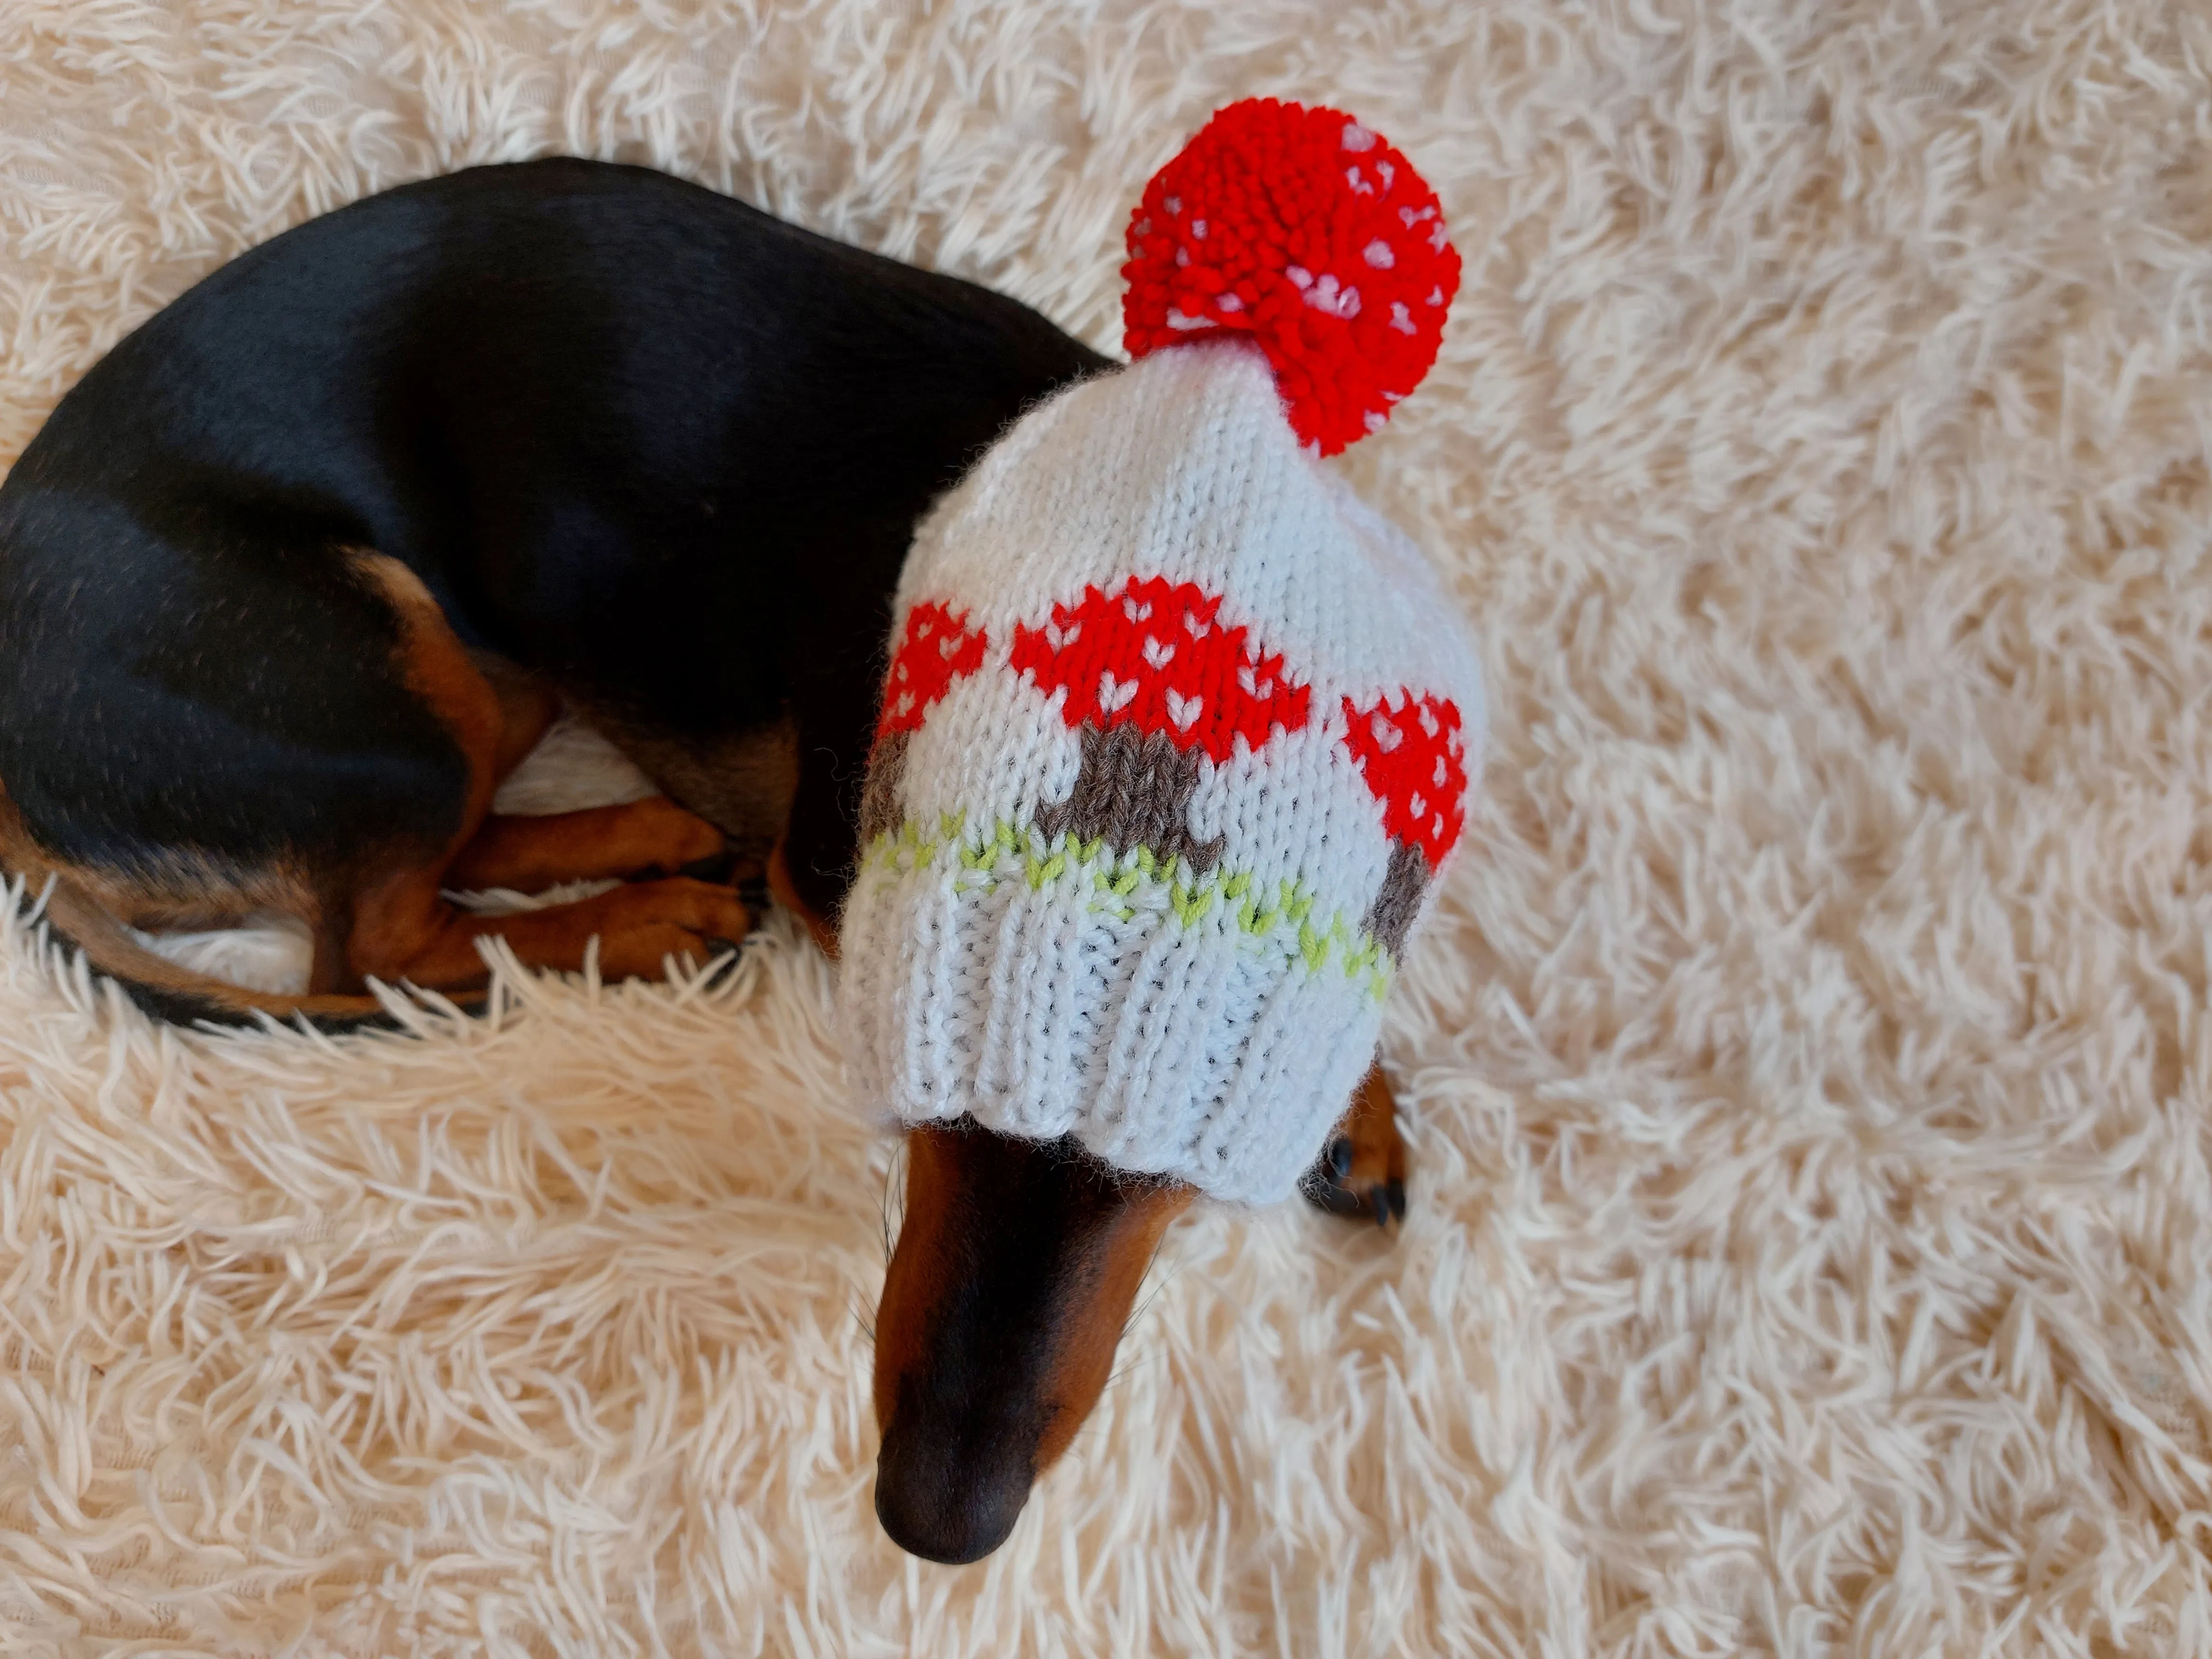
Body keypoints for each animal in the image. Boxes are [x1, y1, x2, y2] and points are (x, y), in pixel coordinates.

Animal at [0, 159, 1406, 1575]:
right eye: (923, 1081)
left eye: (1181, 1165)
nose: (934, 1522)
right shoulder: (829, 865)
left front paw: (1356, 1108)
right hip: (385, 664)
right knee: (381, 948)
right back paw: (646, 923)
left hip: (497, 659)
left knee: (449, 868)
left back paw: (649, 843)